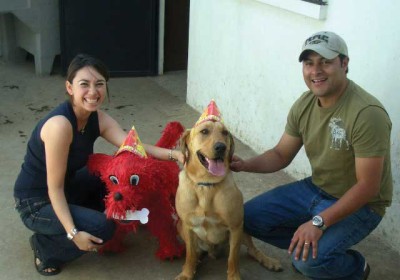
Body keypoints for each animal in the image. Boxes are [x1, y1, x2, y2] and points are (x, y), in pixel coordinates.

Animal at [87, 121, 184, 260]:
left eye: (134, 180)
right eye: (113, 179)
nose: (117, 196)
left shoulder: (159, 209)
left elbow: (165, 228)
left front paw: (171, 251)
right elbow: (117, 227)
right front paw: (110, 246)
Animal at [175, 118, 282, 280]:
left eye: (225, 133)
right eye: (204, 131)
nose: (221, 147)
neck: (207, 184)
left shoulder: (236, 226)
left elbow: (233, 258)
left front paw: (234, 276)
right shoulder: (187, 226)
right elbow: (190, 254)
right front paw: (187, 273)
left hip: (244, 225)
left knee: (252, 250)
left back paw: (269, 261)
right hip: (179, 226)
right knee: (196, 252)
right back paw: (197, 261)